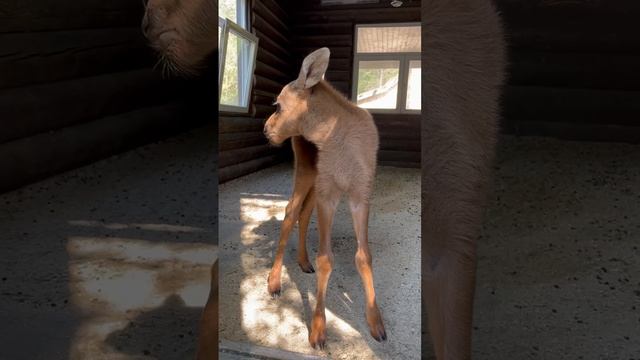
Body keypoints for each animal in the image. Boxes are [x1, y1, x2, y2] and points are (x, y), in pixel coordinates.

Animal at [264, 48, 388, 348]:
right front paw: (318, 329)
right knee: (290, 211)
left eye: (278, 105)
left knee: (303, 211)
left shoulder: (361, 192)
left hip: (315, 178)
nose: (266, 129)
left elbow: (364, 255)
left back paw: (303, 261)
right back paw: (274, 281)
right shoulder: (328, 192)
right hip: (306, 170)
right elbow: (326, 259)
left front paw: (376, 322)